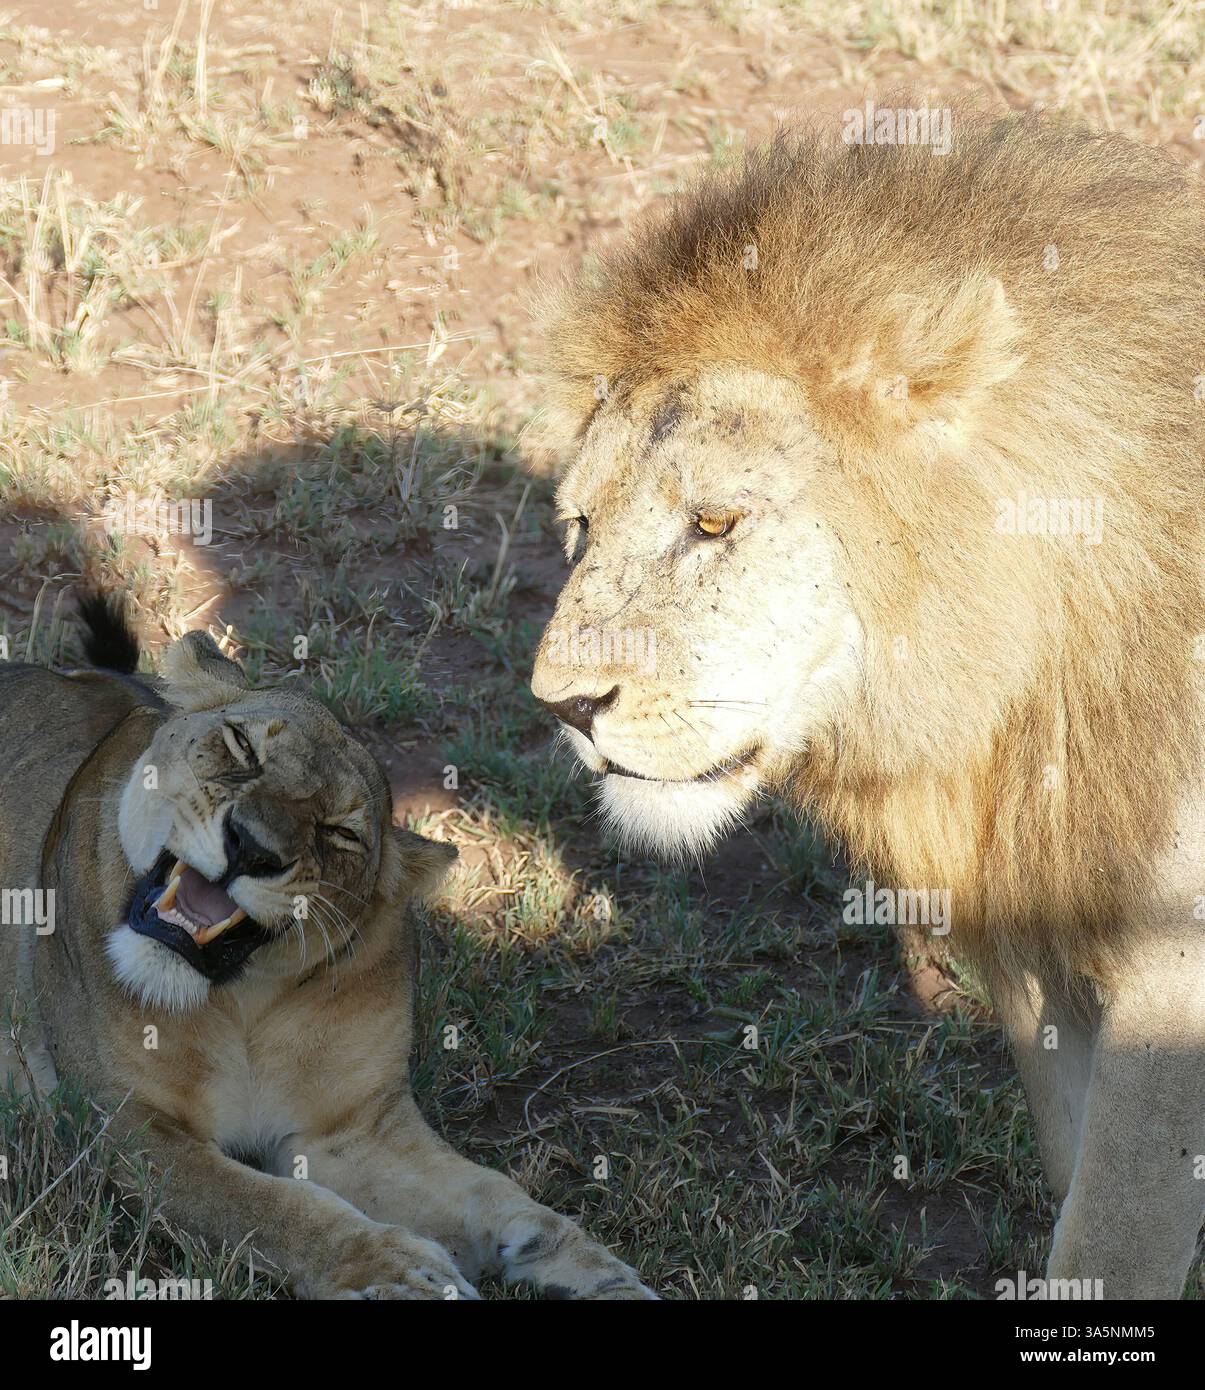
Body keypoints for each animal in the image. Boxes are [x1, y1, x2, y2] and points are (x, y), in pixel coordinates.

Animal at [0, 595, 653, 1300]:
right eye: (242, 746)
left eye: (340, 832)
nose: (252, 848)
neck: (241, 1003)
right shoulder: (116, 1124)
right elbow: (267, 1207)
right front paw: (395, 1271)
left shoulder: (351, 1133)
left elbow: (497, 1198)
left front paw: (600, 1276)